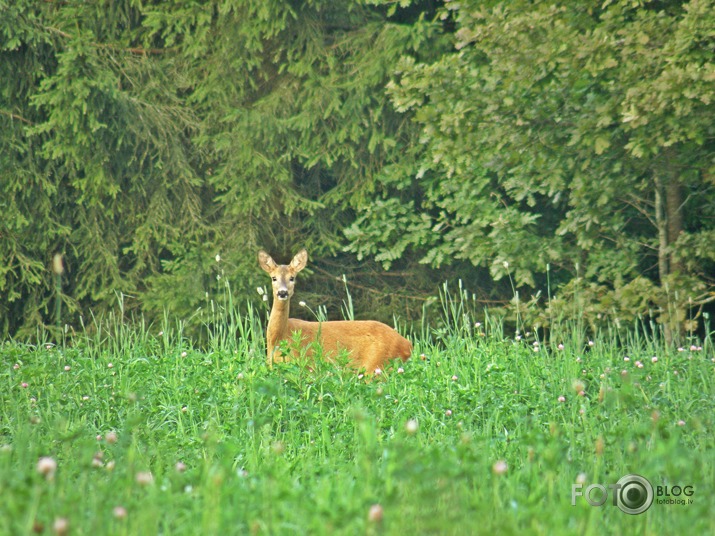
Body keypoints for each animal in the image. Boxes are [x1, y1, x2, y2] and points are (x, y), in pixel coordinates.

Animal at [260, 248, 412, 370]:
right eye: (273, 278)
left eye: (292, 278)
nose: (282, 292)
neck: (279, 338)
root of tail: (408, 345)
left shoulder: (305, 366)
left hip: (377, 365)